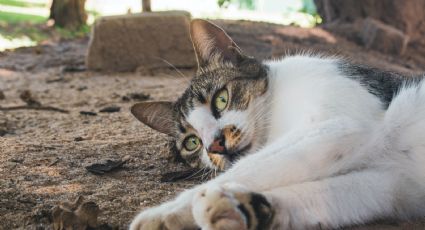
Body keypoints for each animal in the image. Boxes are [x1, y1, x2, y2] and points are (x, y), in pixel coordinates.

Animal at [127, 19, 424, 230]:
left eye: (221, 99)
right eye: (192, 142)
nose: (214, 145)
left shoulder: (341, 125)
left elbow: (251, 167)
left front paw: (162, 213)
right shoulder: (392, 185)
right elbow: (326, 196)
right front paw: (246, 208)